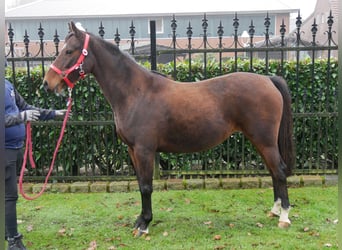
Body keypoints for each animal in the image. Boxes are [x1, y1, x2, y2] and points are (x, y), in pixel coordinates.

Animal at [42, 22, 294, 235]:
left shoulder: (144, 150)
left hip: (264, 141)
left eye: (69, 51)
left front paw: (144, 225)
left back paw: (284, 217)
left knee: (280, 171)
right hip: (261, 141)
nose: (47, 83)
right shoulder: (132, 151)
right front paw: (140, 220)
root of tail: (268, 80)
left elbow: (146, 186)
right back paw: (274, 210)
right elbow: (140, 184)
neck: (136, 92)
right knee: (273, 172)